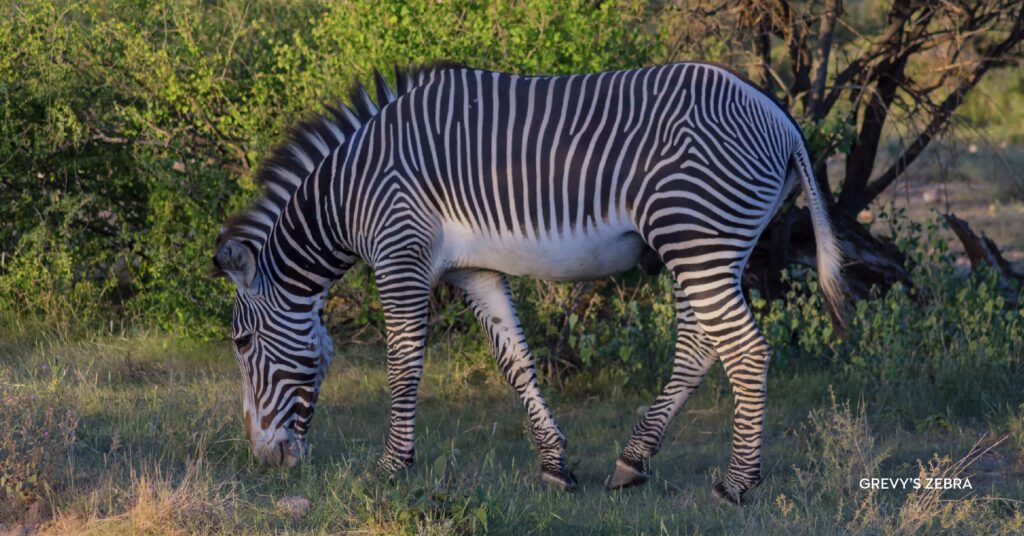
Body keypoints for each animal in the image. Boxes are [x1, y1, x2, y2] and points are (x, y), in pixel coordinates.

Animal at [212, 61, 845, 504]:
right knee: (699, 346)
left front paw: (391, 467)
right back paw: (634, 460)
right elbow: (514, 360)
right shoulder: (474, 268)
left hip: (695, 237)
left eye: (242, 343)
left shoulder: (400, 255)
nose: (266, 463)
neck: (349, 194)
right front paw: (555, 465)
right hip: (704, 245)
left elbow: (403, 367)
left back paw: (736, 484)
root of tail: (780, 119)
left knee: (745, 351)